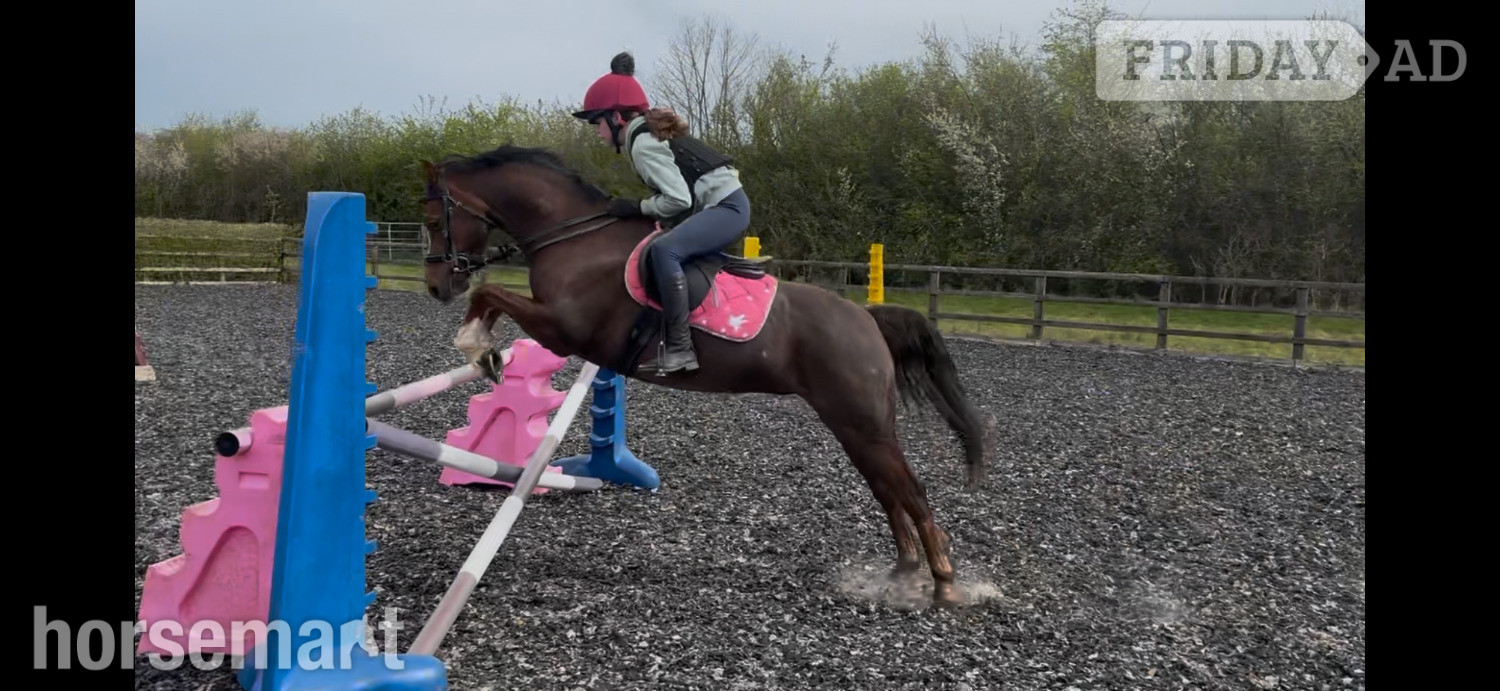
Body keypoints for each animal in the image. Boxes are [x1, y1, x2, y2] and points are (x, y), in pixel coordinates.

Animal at [416, 146, 989, 605]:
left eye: (433, 217)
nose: (437, 286)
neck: (574, 237)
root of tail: (865, 318)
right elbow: (490, 296)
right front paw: (483, 351)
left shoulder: (563, 328)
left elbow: (490, 293)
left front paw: (477, 347)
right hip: (855, 428)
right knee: (889, 492)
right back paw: (903, 575)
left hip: (863, 423)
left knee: (909, 491)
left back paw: (943, 584)